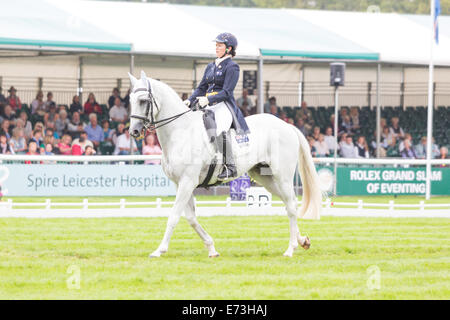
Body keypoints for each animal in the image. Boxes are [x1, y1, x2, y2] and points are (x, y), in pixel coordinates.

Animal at [128, 71, 322, 258]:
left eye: (143, 101)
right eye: (130, 100)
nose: (134, 131)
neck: (181, 132)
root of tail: (287, 126)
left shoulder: (188, 181)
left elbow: (174, 216)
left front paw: (159, 250)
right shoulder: (180, 183)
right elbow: (191, 218)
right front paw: (211, 248)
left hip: (283, 176)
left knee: (291, 206)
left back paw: (290, 249)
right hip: (264, 177)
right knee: (289, 203)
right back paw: (302, 241)